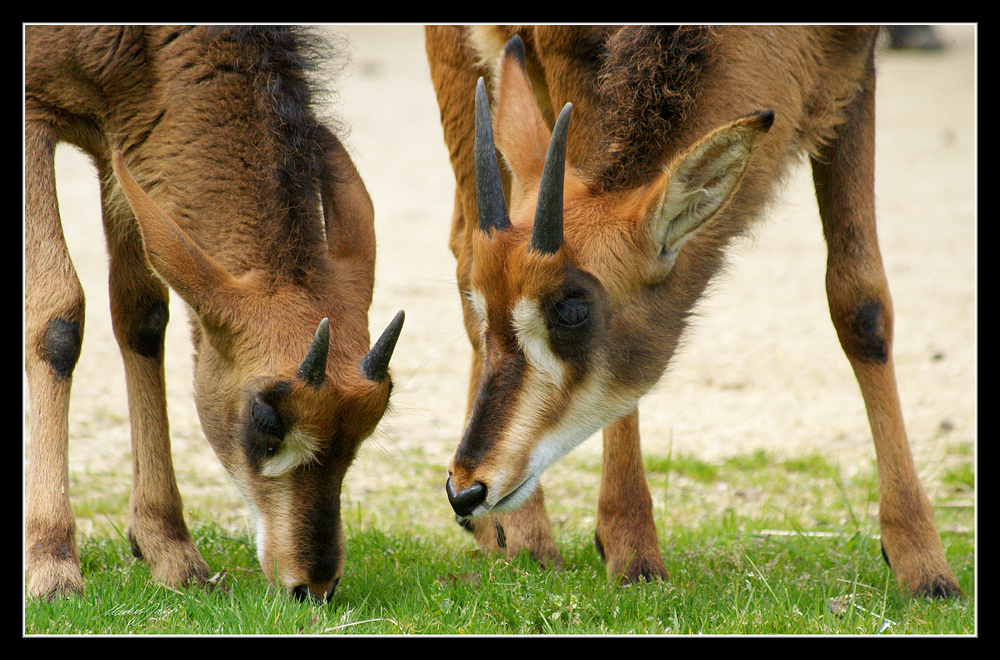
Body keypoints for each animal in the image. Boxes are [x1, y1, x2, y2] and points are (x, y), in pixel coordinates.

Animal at [22, 25, 402, 604]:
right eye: (265, 417)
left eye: (371, 420)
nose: (313, 585)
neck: (145, 45)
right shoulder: (34, 109)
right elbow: (57, 312)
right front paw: (51, 564)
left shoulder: (124, 139)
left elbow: (141, 314)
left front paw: (170, 550)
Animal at [426, 24, 964, 600]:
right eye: (487, 303)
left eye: (572, 310)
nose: (466, 489)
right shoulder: (572, 53)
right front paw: (634, 555)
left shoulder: (855, 67)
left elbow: (861, 304)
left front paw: (925, 566)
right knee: (464, 246)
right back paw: (524, 534)